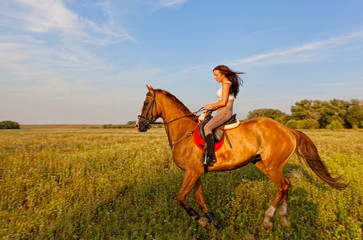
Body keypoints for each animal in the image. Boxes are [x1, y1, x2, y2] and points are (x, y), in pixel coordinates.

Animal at [135, 85, 348, 230]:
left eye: (146, 103)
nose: (139, 126)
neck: (184, 132)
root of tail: (287, 129)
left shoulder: (192, 172)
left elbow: (181, 198)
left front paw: (202, 220)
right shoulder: (195, 172)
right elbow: (199, 197)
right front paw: (211, 220)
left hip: (272, 166)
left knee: (283, 186)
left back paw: (268, 220)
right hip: (263, 164)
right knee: (286, 185)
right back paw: (284, 219)